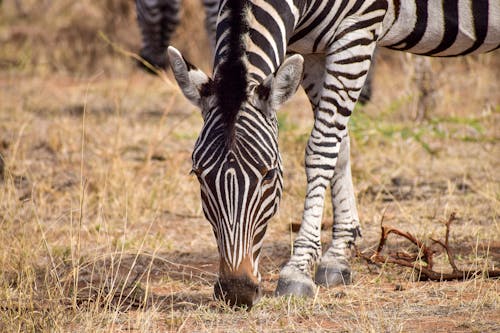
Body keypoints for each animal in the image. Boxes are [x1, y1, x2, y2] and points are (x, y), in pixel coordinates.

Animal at [166, 0, 498, 308]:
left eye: (269, 174)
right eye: (198, 175)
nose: (236, 292)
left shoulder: (358, 29)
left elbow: (322, 146)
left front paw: (298, 269)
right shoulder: (310, 48)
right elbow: (340, 144)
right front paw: (338, 255)